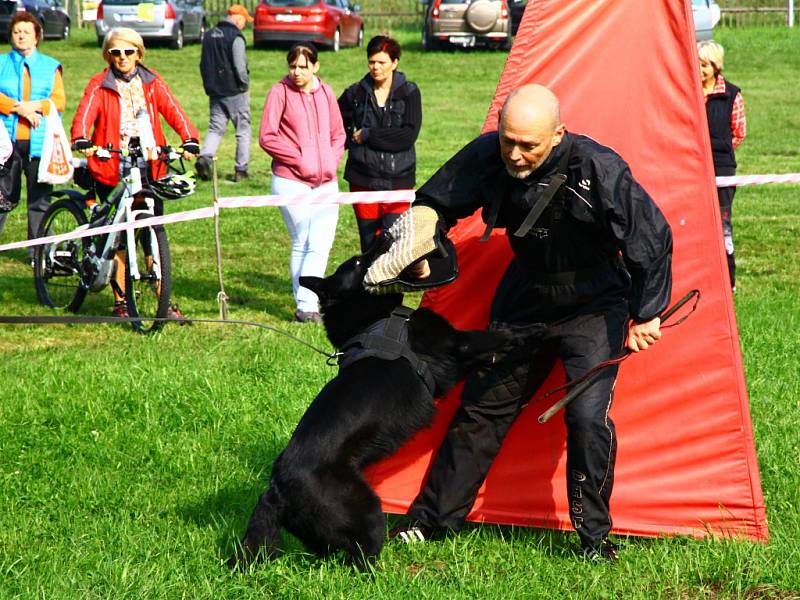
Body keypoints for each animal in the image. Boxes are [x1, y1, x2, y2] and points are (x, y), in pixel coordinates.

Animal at [228, 243, 520, 568]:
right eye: (357, 262)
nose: (382, 239)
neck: (373, 318)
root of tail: (275, 488)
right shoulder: (455, 345)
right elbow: (487, 339)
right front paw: (524, 332)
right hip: (367, 511)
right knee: (359, 558)